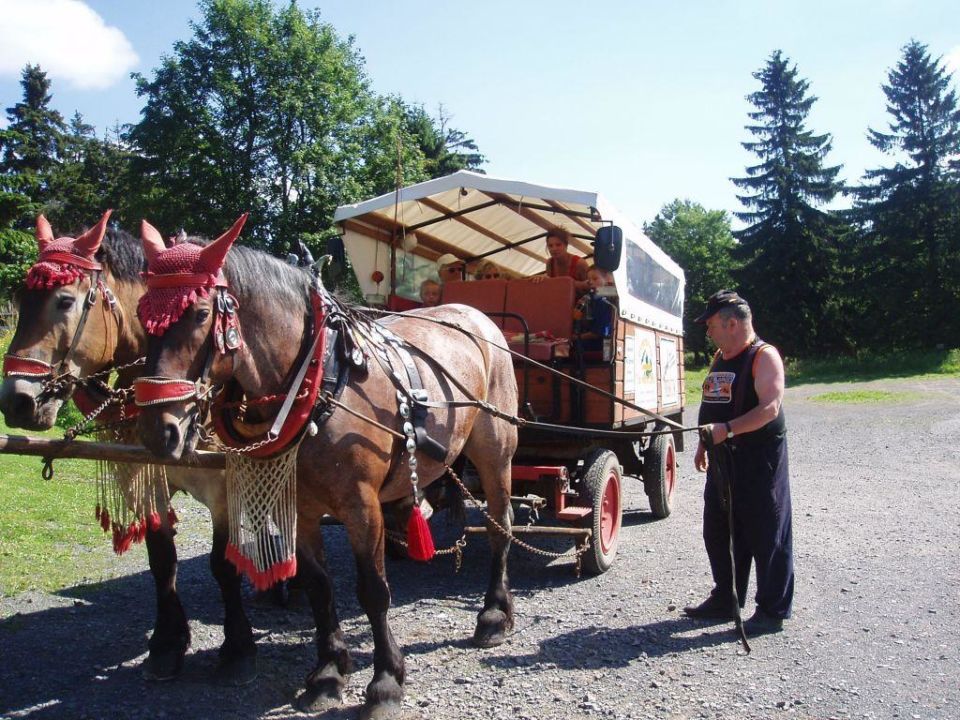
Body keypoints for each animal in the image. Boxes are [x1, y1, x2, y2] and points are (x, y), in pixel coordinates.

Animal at [0, 212, 256, 680]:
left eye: (64, 301)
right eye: (21, 299)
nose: (17, 400)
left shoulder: (223, 484)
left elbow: (223, 565)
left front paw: (237, 645)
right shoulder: (144, 477)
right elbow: (162, 560)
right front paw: (167, 643)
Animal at [135, 219, 516, 720]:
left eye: (199, 314)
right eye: (142, 314)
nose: (157, 430)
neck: (319, 377)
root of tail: (477, 315)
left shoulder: (361, 506)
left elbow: (373, 590)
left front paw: (385, 681)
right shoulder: (298, 506)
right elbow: (318, 587)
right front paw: (329, 672)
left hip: (496, 454)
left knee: (499, 527)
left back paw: (494, 613)